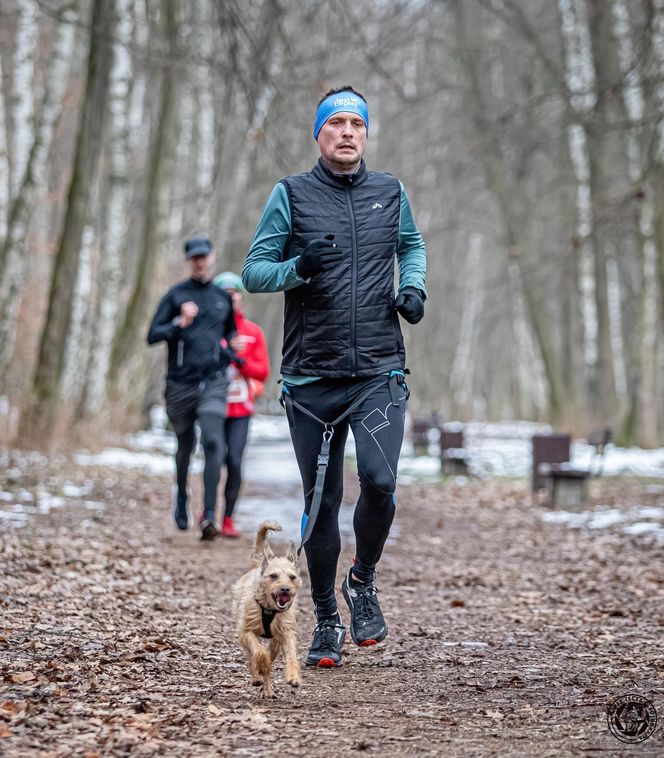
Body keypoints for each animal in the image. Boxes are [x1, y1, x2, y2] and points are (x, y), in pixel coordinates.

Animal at [232, 524, 302, 700]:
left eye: (292, 577)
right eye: (273, 576)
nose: (285, 589)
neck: (269, 608)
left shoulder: (285, 632)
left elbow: (290, 654)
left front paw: (293, 676)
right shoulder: (246, 631)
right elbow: (259, 653)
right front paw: (261, 665)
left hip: (275, 641)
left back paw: (267, 690)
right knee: (252, 656)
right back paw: (257, 676)